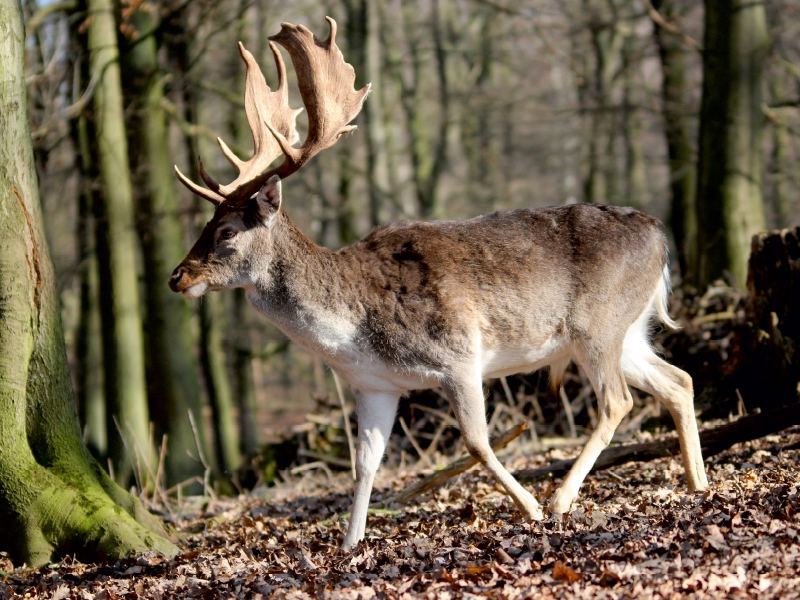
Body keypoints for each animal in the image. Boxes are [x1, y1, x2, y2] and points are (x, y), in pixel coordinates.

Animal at [167, 16, 708, 552]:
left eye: (226, 231)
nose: (177, 277)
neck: (352, 332)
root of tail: (661, 237)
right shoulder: (375, 385)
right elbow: (365, 466)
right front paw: (350, 546)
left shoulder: (458, 355)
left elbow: (477, 442)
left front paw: (529, 508)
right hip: (628, 330)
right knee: (679, 380)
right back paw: (697, 482)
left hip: (597, 325)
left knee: (618, 401)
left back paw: (559, 500)